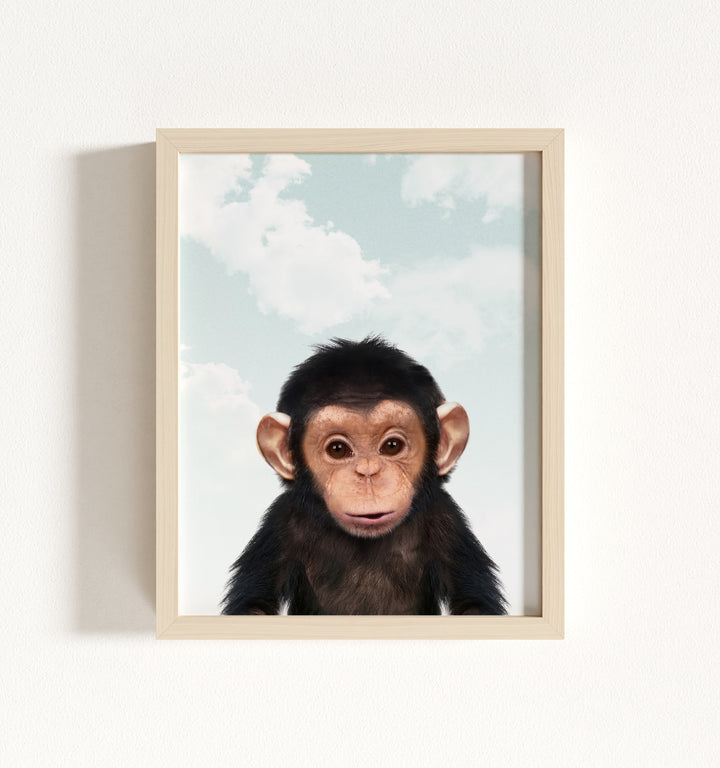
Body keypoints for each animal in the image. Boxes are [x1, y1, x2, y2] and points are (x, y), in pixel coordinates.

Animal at [222, 336, 506, 615]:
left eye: (392, 446)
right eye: (337, 449)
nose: (368, 472)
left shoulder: (446, 520)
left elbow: (474, 603)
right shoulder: (280, 523)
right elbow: (254, 604)